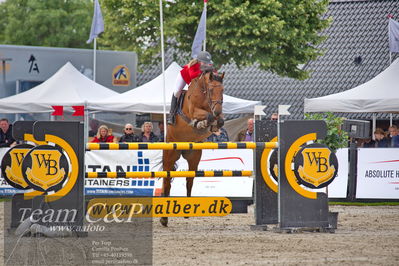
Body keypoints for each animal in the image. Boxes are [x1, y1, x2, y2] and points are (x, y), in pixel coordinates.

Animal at [162, 70, 225, 227]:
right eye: (211, 90)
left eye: (222, 90)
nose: (217, 110)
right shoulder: (194, 111)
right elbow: (207, 116)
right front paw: (201, 123)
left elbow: (220, 120)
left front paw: (213, 125)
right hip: (170, 155)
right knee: (167, 181)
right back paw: (163, 219)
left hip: (194, 156)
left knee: (189, 180)